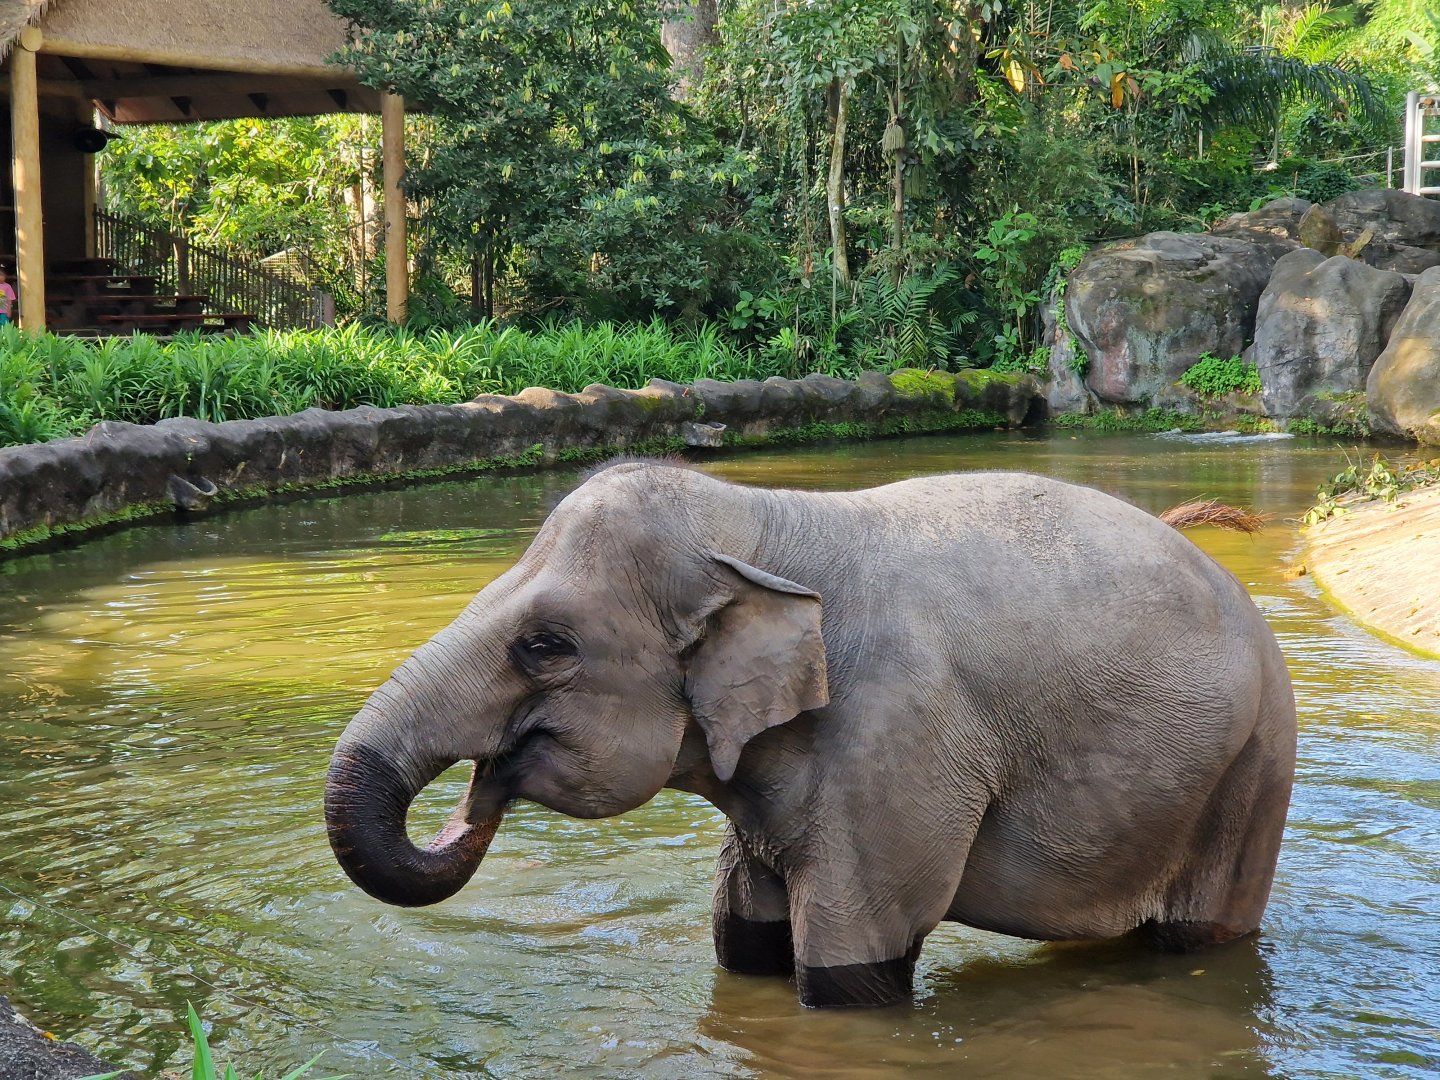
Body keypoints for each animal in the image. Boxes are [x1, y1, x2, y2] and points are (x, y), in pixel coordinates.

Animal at [324, 460, 1297, 1008]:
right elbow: (743, 941)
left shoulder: (899, 741)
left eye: (544, 646)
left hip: (1256, 767)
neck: (766, 520)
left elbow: (847, 966)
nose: (476, 798)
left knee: (1198, 934)